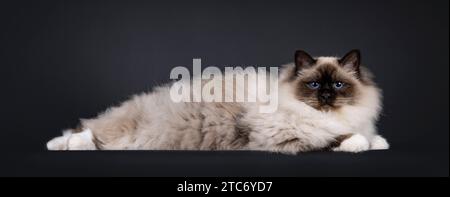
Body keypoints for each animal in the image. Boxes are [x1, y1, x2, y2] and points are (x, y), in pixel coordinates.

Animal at [47, 49, 388, 154]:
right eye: (315, 84)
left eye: (339, 85)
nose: (326, 96)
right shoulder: (290, 137)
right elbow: (343, 138)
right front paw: (358, 144)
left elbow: (370, 136)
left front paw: (378, 142)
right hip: (123, 132)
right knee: (87, 133)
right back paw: (62, 145)